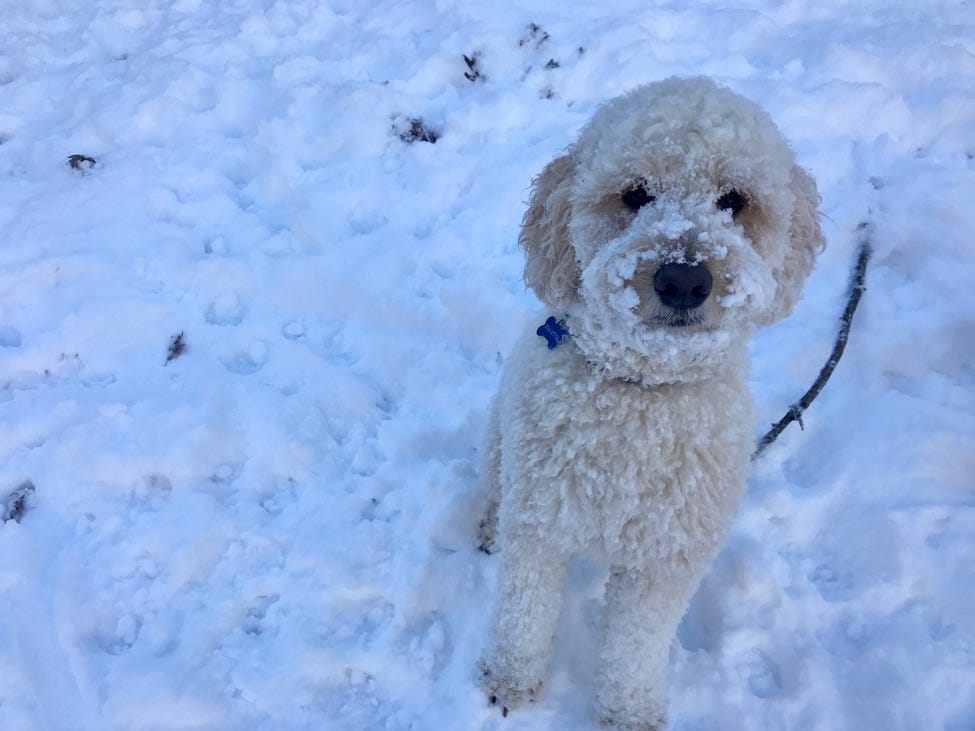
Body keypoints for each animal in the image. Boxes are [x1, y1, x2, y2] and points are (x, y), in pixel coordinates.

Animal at [478, 77, 824, 728]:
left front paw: (627, 712)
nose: (684, 279)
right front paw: (509, 680)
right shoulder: (539, 524)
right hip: (498, 443)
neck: (640, 396)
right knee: (491, 489)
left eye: (734, 200)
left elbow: (636, 646)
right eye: (635, 194)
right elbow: (522, 612)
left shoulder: (668, 559)